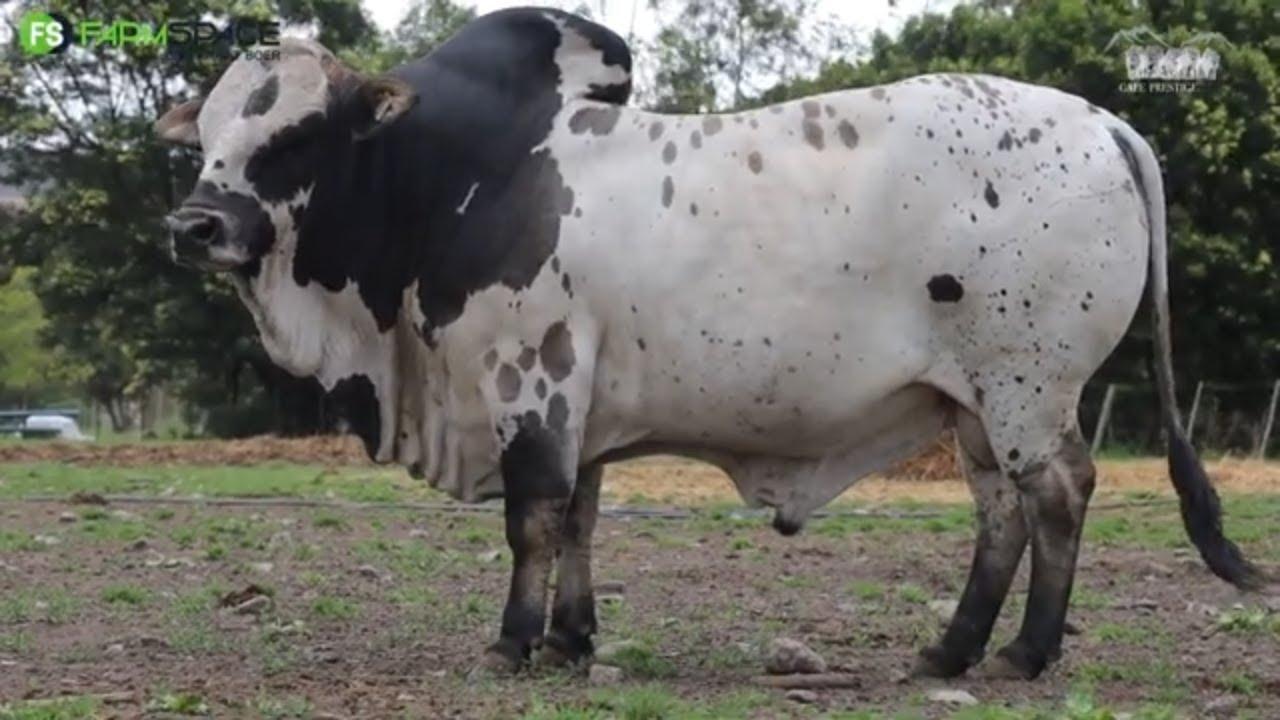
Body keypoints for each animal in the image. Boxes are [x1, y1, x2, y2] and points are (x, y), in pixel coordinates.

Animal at [156, 8, 1260, 680]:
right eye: (205, 133)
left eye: (296, 134)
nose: (196, 225)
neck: (457, 176)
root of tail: (1105, 122)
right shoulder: (581, 401)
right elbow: (579, 520)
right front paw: (571, 640)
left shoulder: (529, 381)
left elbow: (532, 520)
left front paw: (513, 644)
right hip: (973, 404)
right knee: (1001, 516)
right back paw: (947, 651)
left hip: (1027, 384)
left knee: (1059, 496)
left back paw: (1022, 655)